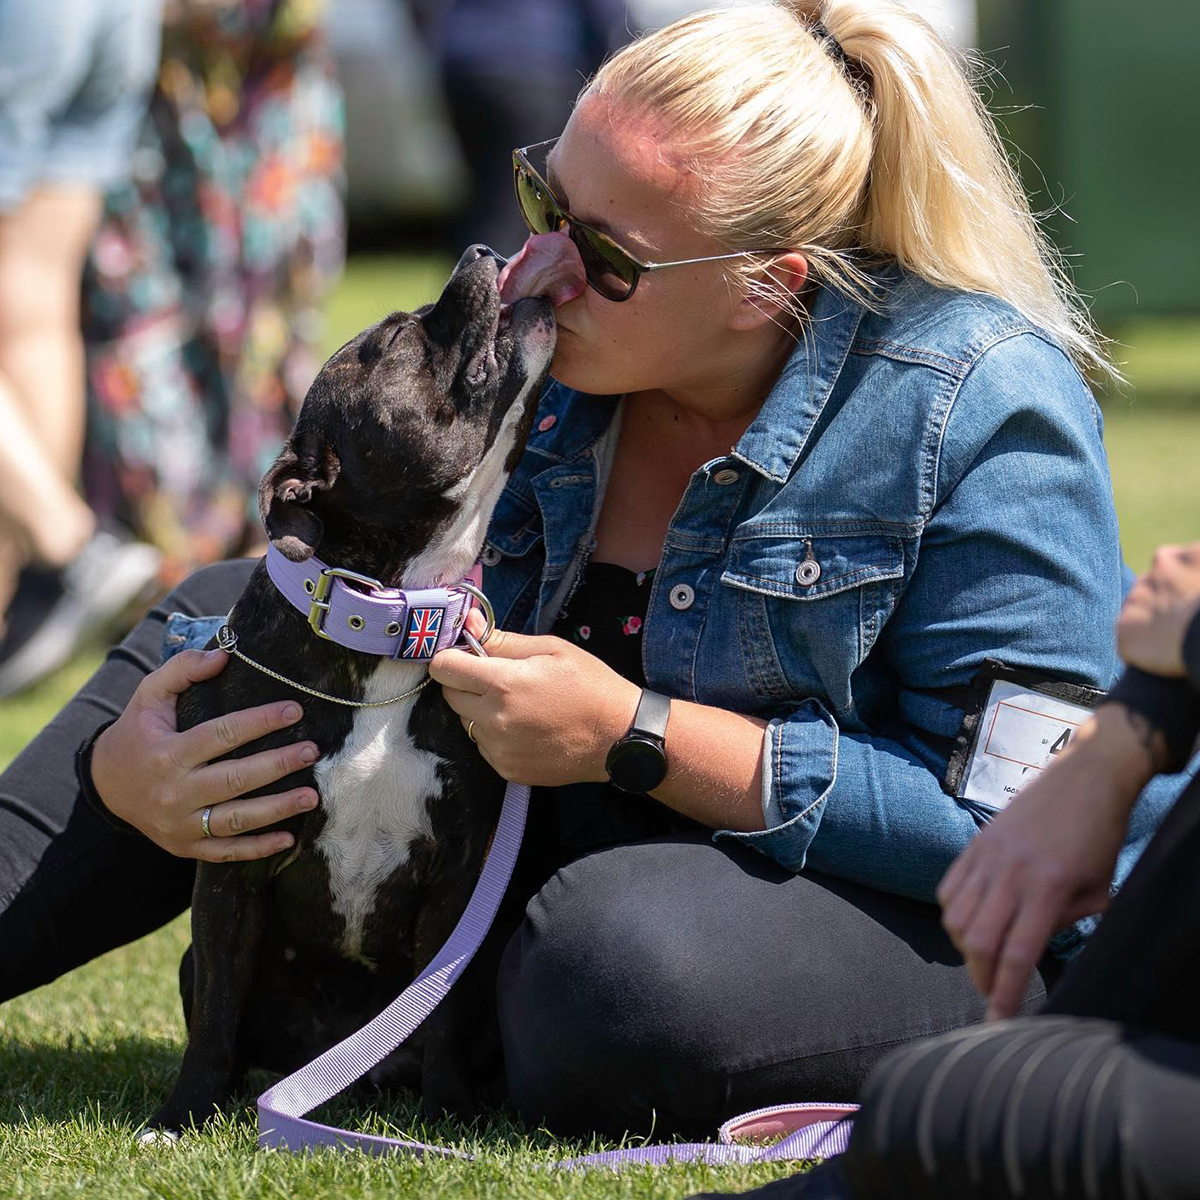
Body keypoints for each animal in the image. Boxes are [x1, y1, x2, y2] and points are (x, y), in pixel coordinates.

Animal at [144, 243, 552, 1132]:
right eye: (398, 336)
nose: (480, 250)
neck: (391, 616)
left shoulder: (457, 880)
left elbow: (440, 1008)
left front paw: (447, 1110)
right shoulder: (230, 866)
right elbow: (216, 1014)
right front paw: (181, 1115)